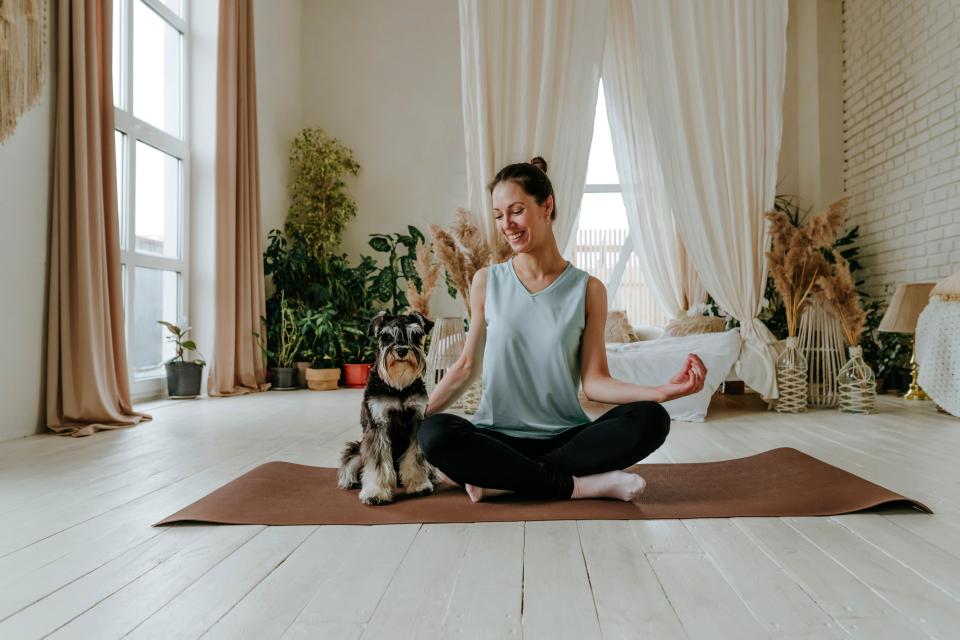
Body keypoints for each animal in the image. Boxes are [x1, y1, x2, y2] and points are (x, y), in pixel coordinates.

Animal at [338, 312, 438, 504]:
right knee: (351, 462)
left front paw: (419, 484)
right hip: (358, 449)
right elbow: (378, 462)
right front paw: (375, 492)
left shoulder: (416, 422)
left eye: (415, 335)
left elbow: (415, 458)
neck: (399, 387)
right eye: (386, 336)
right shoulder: (378, 424)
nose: (401, 350)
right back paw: (350, 480)